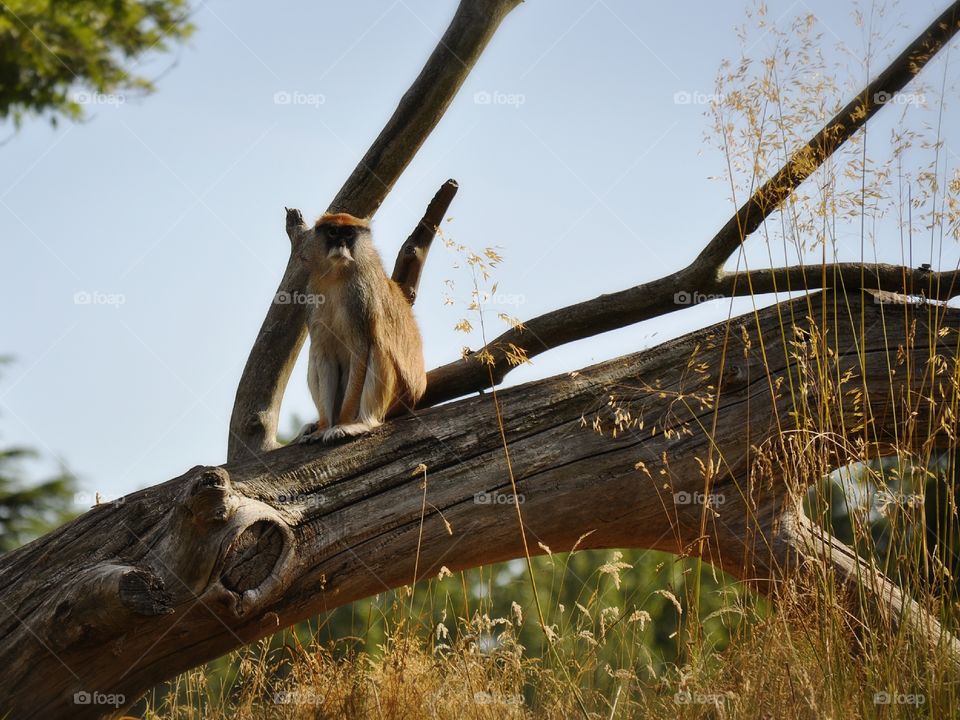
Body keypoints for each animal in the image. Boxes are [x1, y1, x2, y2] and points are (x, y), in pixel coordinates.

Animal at [296, 212, 426, 443]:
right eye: (333, 232)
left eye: (349, 233)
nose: (340, 244)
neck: (337, 276)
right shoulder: (312, 299)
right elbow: (323, 354)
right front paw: (323, 426)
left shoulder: (362, 297)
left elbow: (362, 350)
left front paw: (344, 424)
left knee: (379, 346)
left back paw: (363, 422)